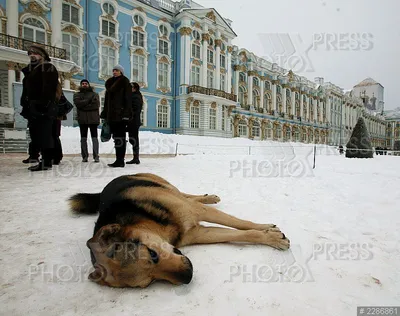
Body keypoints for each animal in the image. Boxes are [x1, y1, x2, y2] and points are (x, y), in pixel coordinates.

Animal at [68, 173, 288, 288]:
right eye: (149, 282)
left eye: (152, 254)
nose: (188, 276)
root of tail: (104, 189)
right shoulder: (197, 233)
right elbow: (240, 232)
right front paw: (269, 235)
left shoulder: (196, 212)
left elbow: (240, 223)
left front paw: (270, 232)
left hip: (165, 185)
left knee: (185, 194)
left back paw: (208, 197)